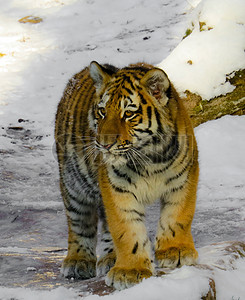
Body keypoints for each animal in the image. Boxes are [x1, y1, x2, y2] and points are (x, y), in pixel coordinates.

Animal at [54, 61, 198, 290]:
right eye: (102, 112)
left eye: (128, 114)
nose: (104, 144)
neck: (149, 157)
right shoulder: (117, 188)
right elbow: (126, 230)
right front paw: (131, 271)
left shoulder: (183, 178)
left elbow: (178, 216)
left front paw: (175, 251)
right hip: (73, 184)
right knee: (79, 223)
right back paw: (78, 261)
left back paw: (110, 258)